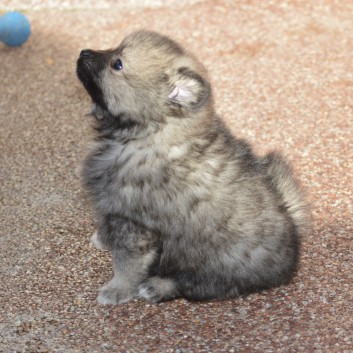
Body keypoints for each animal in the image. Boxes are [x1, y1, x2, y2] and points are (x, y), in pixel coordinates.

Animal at [75, 30, 306, 304]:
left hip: (211, 264)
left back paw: (156, 287)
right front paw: (103, 238)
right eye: (114, 49)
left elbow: (127, 265)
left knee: (191, 284)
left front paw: (117, 290)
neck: (149, 134)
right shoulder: (116, 213)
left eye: (117, 64)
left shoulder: (135, 225)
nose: (83, 52)